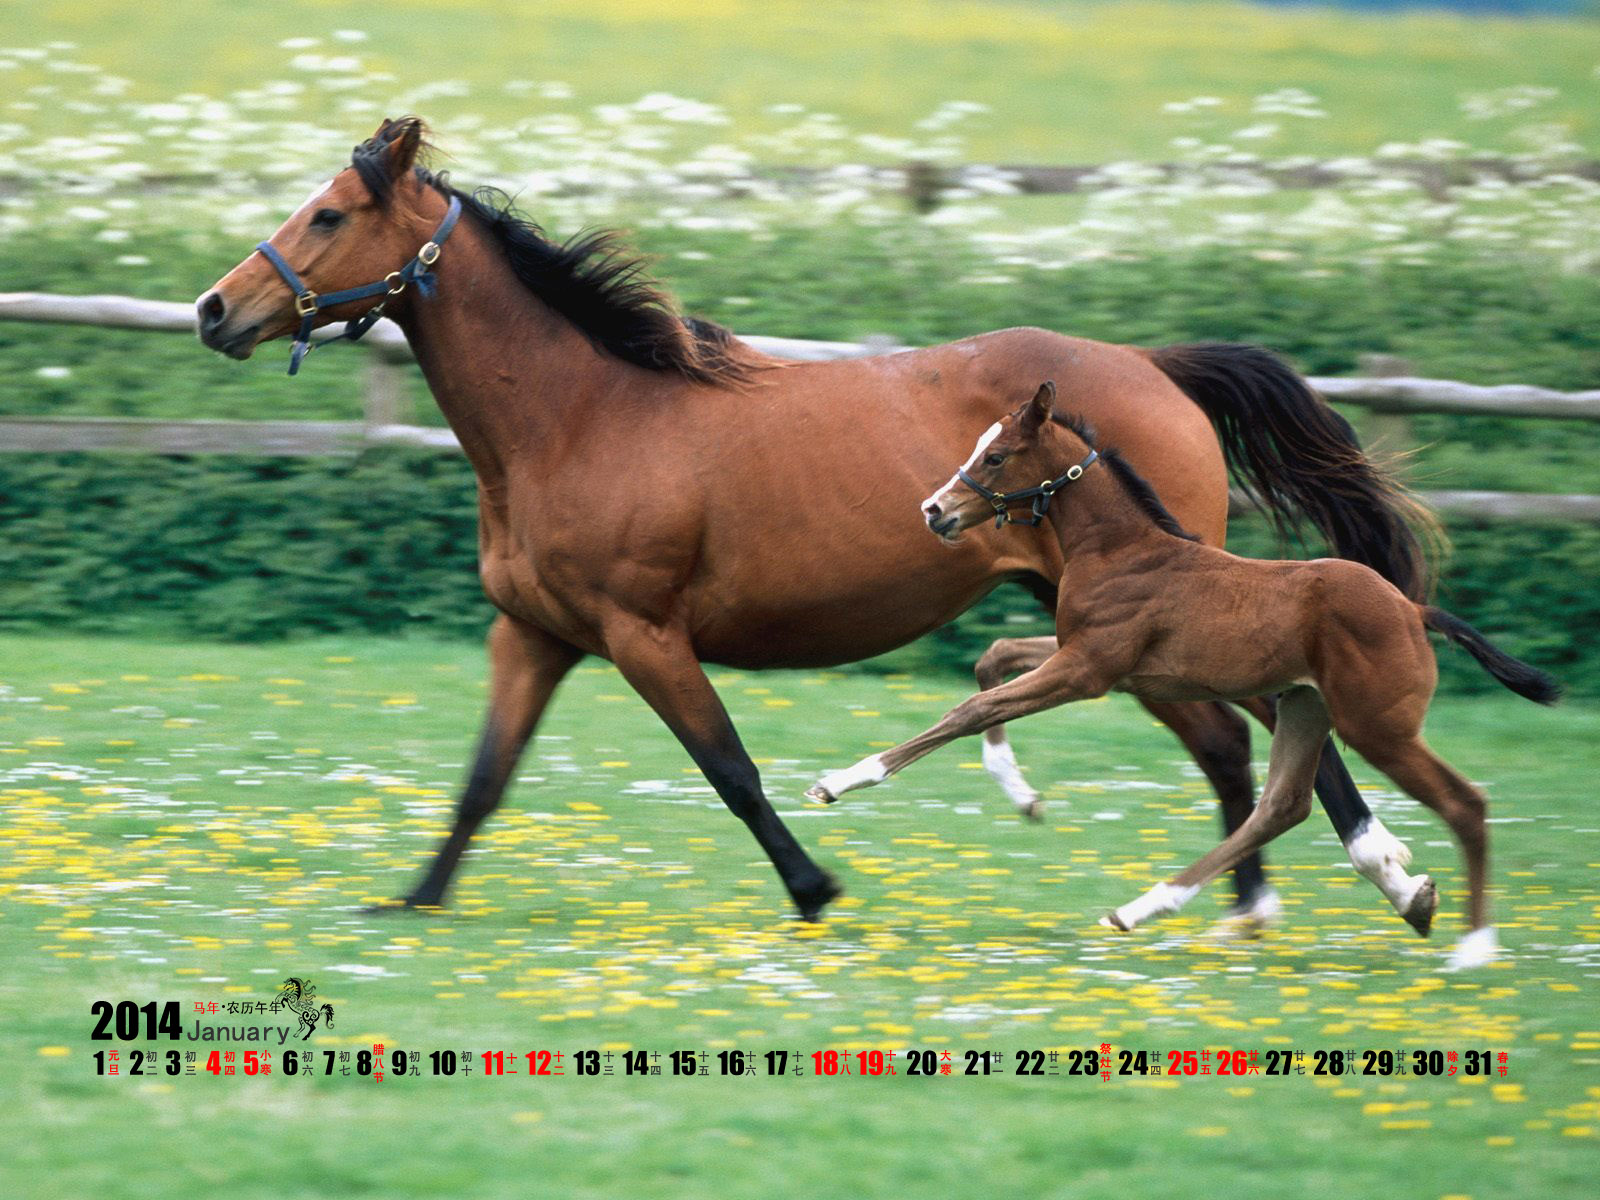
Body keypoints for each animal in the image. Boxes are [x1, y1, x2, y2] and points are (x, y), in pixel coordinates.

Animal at [195, 116, 1439, 927]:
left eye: (329, 214)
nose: (214, 311)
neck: (581, 417)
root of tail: (1154, 365)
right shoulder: (534, 634)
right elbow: (484, 779)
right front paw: (412, 900)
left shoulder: (644, 633)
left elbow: (730, 768)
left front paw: (815, 887)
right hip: (1107, 619)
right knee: (1235, 741)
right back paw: (1259, 903)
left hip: (1152, 612)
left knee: (1264, 735)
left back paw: (1366, 880)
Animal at [808, 382, 1559, 968]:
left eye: (994, 455)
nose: (934, 511)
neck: (1120, 547)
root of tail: (1412, 608)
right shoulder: (1092, 659)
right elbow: (992, 661)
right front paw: (1018, 789)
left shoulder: (1086, 670)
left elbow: (970, 709)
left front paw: (839, 781)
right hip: (1305, 707)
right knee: (1281, 806)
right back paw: (1144, 908)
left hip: (1379, 727)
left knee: (1465, 803)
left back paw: (1474, 948)